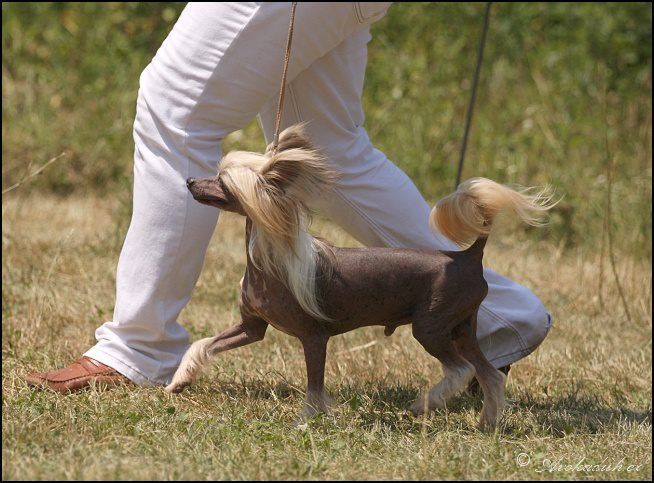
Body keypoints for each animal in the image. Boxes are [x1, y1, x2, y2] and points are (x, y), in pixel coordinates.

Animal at [165, 124, 555, 428]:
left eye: (222, 181)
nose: (189, 181)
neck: (270, 261)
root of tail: (467, 256)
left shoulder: (314, 337)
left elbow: (314, 387)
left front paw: (306, 421)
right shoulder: (251, 328)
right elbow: (203, 344)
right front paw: (178, 381)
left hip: (431, 326)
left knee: (460, 370)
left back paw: (422, 405)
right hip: (461, 328)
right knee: (489, 374)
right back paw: (487, 423)